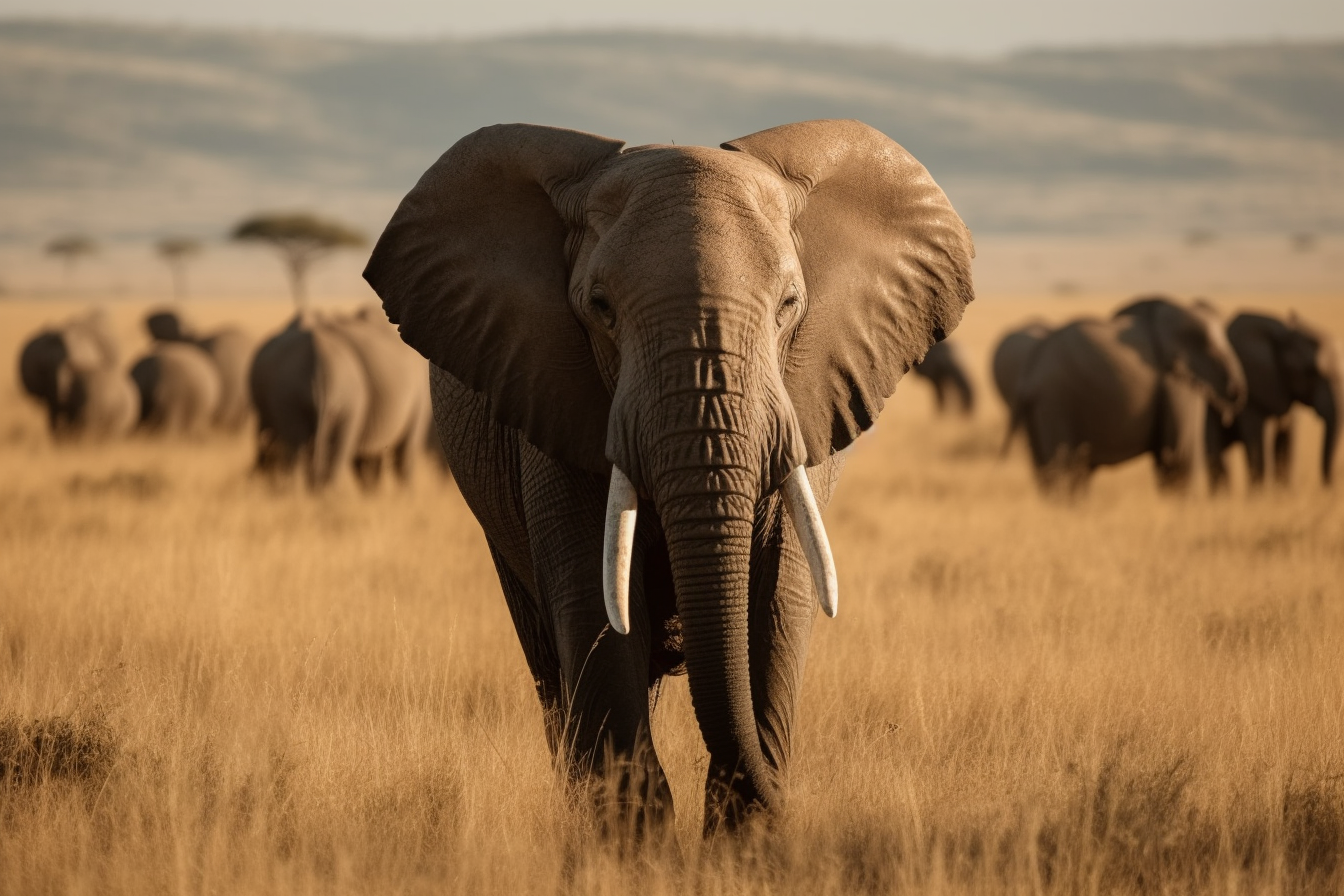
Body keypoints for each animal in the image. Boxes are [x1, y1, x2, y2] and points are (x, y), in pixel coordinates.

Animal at [362, 120, 973, 843]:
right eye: (600, 308)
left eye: (789, 305)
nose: (787, 801)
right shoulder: (551, 399)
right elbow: (595, 603)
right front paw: (633, 847)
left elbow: (778, 598)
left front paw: (743, 843)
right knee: (553, 669)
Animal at [1010, 298, 1247, 494]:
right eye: (1219, 352)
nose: (1236, 392)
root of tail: (1030, 372)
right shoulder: (1175, 380)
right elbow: (1178, 455)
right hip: (1056, 401)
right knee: (1063, 467)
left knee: (1050, 469)